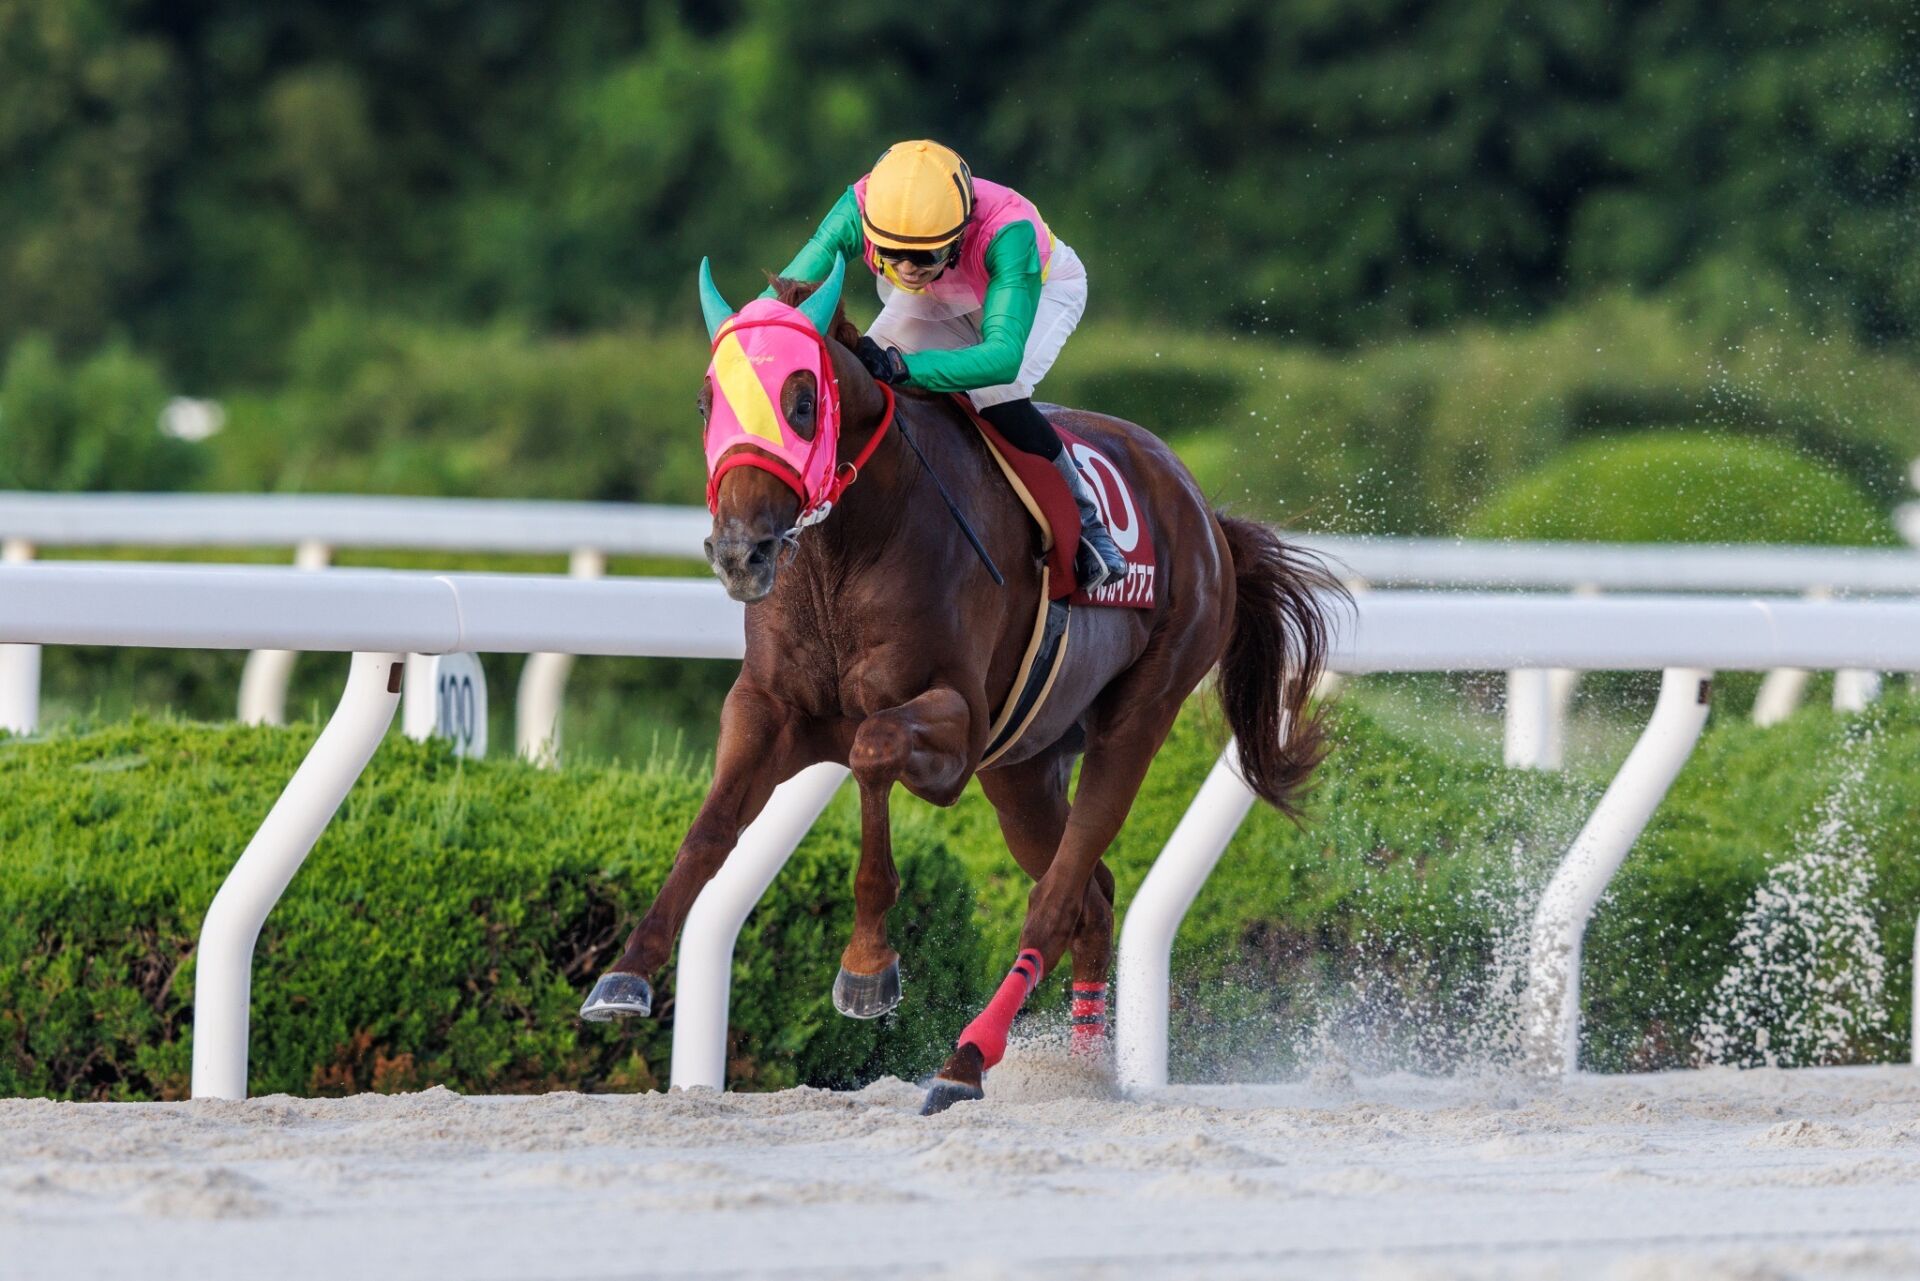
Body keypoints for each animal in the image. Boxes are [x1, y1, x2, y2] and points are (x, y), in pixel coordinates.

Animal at [576, 261, 1344, 1113]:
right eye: (708, 399)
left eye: (803, 401)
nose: (740, 551)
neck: (847, 549)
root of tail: (1204, 511)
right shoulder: (770, 709)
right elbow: (709, 828)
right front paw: (624, 974)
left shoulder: (956, 729)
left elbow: (873, 748)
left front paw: (868, 968)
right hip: (1023, 768)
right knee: (1094, 894)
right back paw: (1082, 1070)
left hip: (1139, 710)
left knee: (1057, 898)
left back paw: (966, 1058)